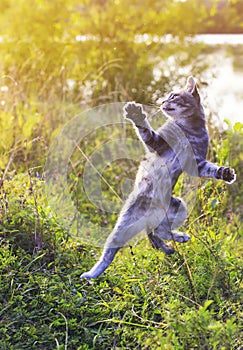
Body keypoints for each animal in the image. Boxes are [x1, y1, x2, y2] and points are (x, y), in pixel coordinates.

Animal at [80, 76, 236, 278]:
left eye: (173, 96)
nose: (162, 101)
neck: (187, 129)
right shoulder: (159, 144)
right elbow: (146, 131)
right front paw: (135, 113)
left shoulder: (196, 163)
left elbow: (211, 169)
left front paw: (225, 173)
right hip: (124, 225)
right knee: (112, 251)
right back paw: (91, 274)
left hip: (178, 206)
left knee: (159, 231)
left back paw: (178, 237)